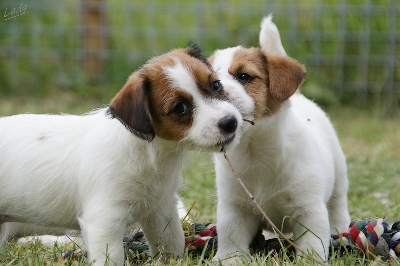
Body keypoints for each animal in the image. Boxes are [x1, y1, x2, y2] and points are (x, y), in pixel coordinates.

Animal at [0, 43, 244, 264]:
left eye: (215, 85)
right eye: (180, 108)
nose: (230, 122)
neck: (150, 153)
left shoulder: (160, 209)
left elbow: (172, 243)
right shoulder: (104, 221)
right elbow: (112, 257)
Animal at [209, 15, 350, 262]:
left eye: (244, 76)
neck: (254, 150)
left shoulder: (308, 210)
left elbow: (313, 242)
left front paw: (310, 261)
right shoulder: (235, 208)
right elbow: (231, 237)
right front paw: (230, 258)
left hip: (339, 177)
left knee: (338, 205)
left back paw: (340, 231)